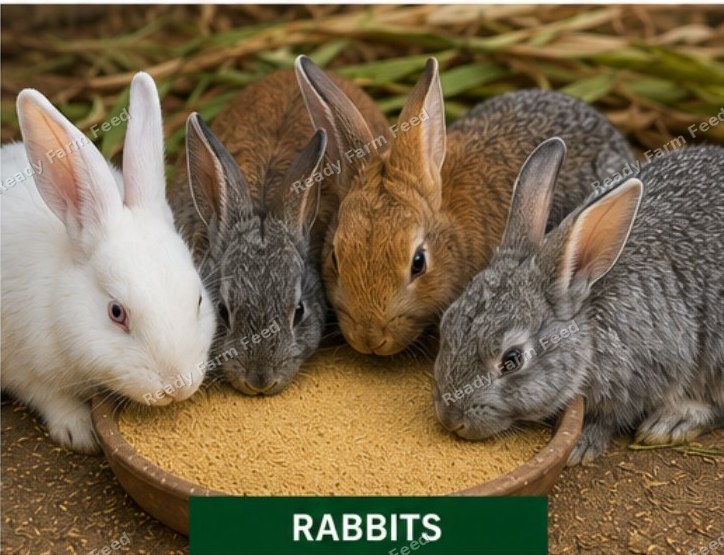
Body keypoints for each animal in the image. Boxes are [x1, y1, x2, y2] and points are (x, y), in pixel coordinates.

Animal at [0, 73, 217, 453]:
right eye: (116, 313)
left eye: (199, 300)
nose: (177, 386)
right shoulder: (21, 365)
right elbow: (48, 396)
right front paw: (80, 432)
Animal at [433, 138, 724, 465]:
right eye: (446, 326)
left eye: (512, 360)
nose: (450, 418)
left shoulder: (646, 372)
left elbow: (610, 418)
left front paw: (581, 445)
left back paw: (672, 422)